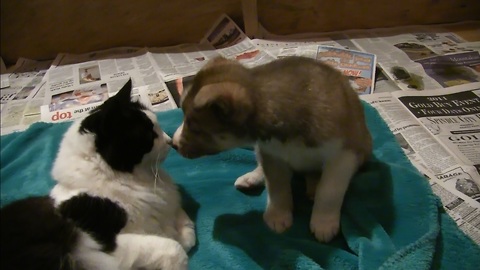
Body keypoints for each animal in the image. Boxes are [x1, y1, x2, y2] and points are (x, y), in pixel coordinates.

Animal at [0, 80, 195, 270]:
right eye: (149, 135)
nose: (170, 141)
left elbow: (185, 228)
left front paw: (180, 231)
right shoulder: (104, 246)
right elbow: (173, 248)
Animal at [172, 57, 372, 243]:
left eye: (195, 128)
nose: (173, 144)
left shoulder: (343, 156)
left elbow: (329, 191)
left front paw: (324, 222)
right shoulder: (271, 154)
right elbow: (277, 187)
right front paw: (278, 215)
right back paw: (251, 178)